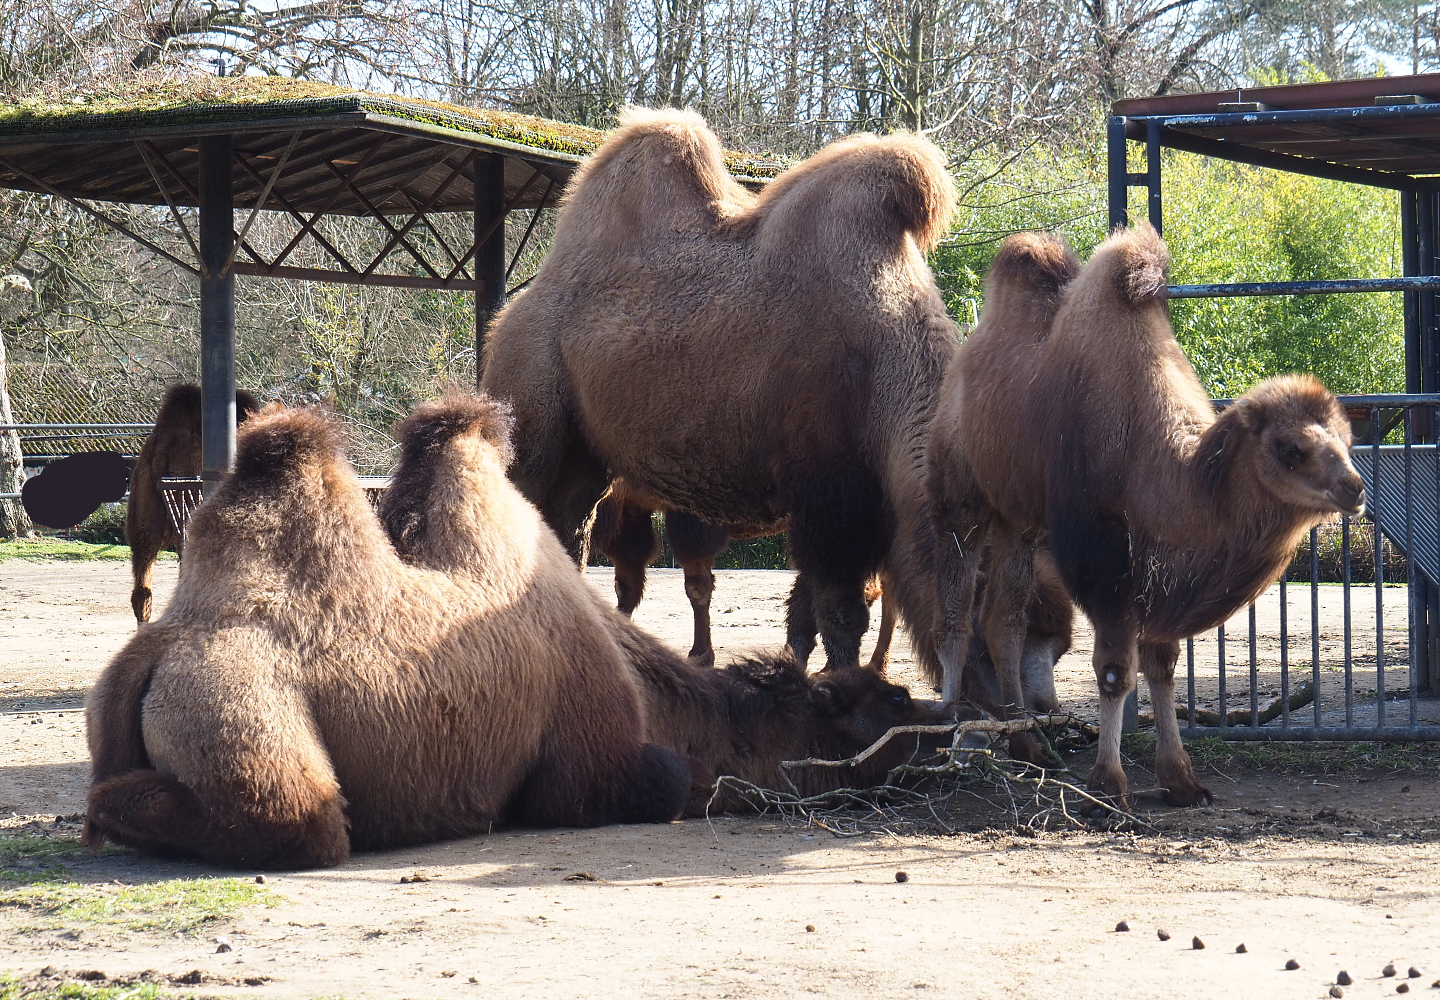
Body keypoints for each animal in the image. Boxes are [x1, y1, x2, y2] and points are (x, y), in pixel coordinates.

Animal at [480, 107, 963, 679]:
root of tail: (509, 315)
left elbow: (811, 610)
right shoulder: (825, 489)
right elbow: (840, 613)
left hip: (587, 455)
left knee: (566, 530)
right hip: (531, 410)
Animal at [926, 224, 1365, 806]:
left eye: (1347, 439)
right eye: (1291, 448)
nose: (1354, 489)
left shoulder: (1159, 571)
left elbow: (1163, 664)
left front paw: (1181, 779)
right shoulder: (1099, 554)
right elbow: (1115, 670)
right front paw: (1108, 785)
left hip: (1019, 520)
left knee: (1004, 618)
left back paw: (1030, 745)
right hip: (961, 498)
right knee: (954, 614)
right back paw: (951, 734)